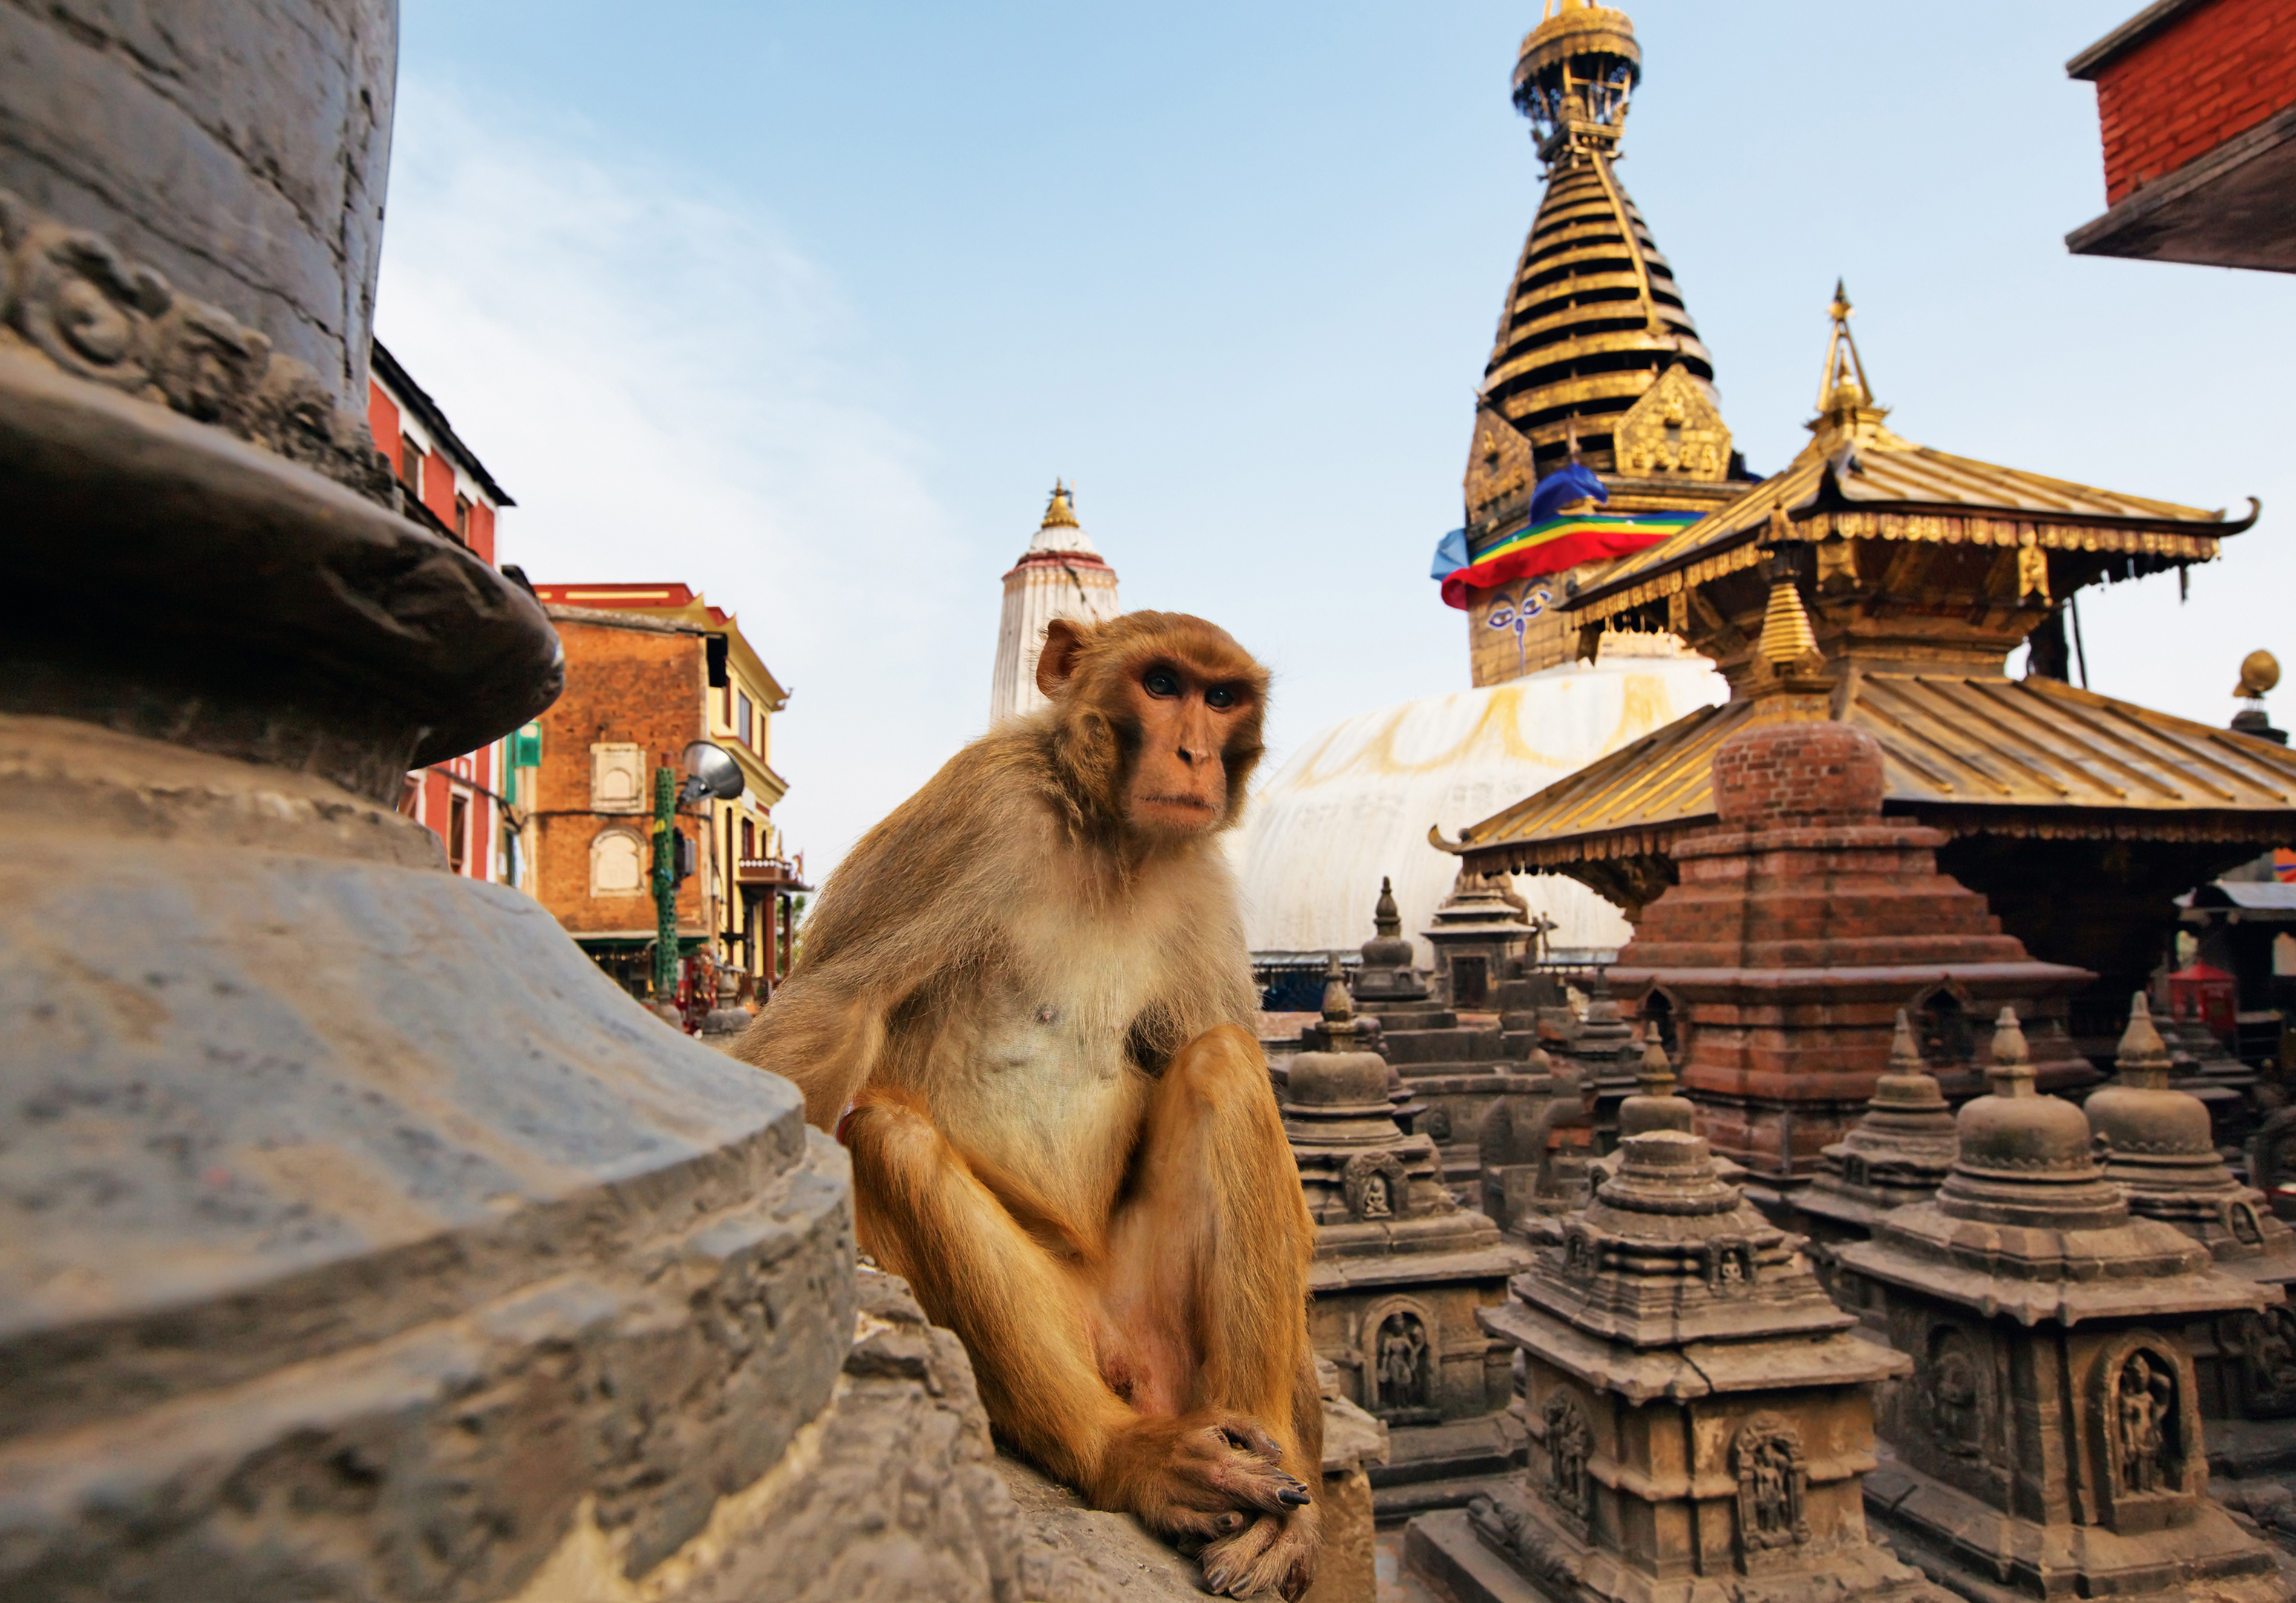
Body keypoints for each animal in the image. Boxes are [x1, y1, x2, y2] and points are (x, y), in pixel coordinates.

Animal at [744, 611, 1322, 1589]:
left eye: (1220, 696)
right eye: (1161, 686)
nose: (1196, 753)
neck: (1108, 837)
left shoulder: (1201, 881)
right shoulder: (981, 808)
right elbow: (835, 1007)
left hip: (1167, 1326)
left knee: (1223, 1060)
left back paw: (1268, 1450)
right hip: (1064, 1323)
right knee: (889, 1139)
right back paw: (1126, 1454)